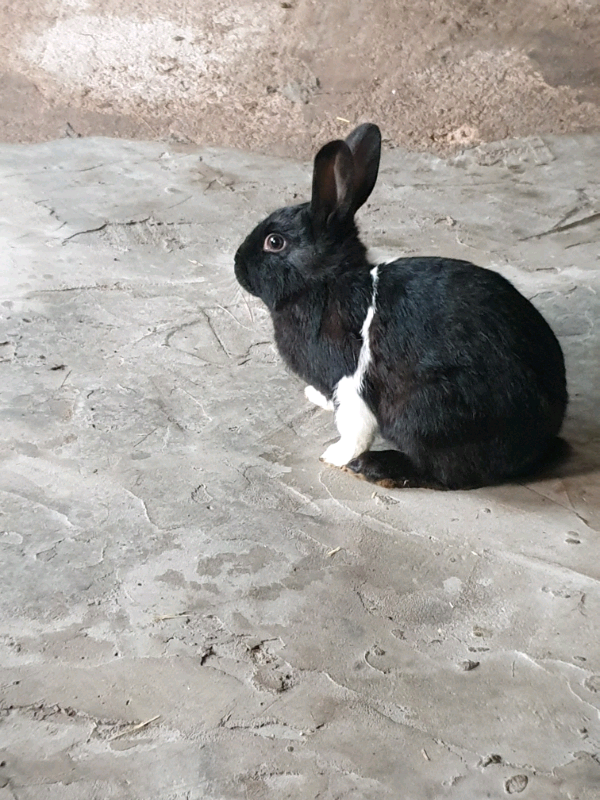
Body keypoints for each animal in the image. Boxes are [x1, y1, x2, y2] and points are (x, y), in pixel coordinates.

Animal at [234, 123, 568, 489]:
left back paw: (375, 467)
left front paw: (334, 456)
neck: (327, 285)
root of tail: (540, 441)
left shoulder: (352, 381)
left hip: (429, 413)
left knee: (443, 472)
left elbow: (355, 428)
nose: (237, 265)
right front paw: (315, 396)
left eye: (274, 242)